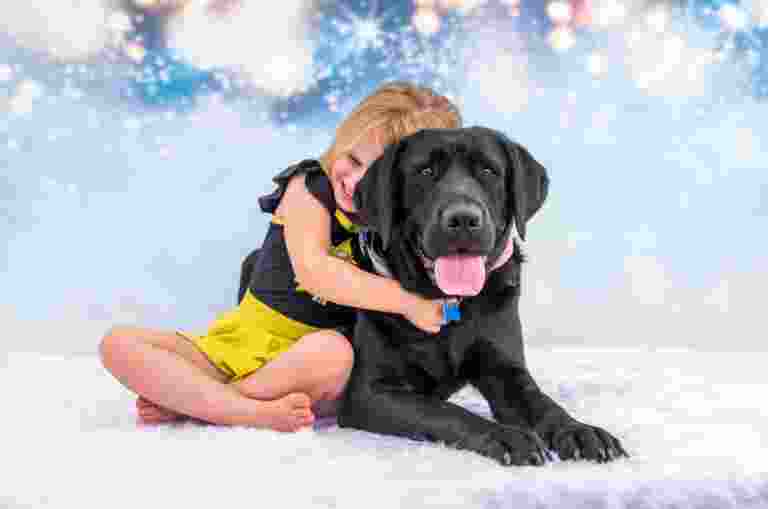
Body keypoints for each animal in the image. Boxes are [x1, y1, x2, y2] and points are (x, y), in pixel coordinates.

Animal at [338, 126, 632, 464]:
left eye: (488, 171)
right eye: (425, 172)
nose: (463, 219)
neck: (450, 303)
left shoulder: (505, 369)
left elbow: (542, 402)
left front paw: (579, 430)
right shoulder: (369, 391)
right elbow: (442, 410)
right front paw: (507, 436)